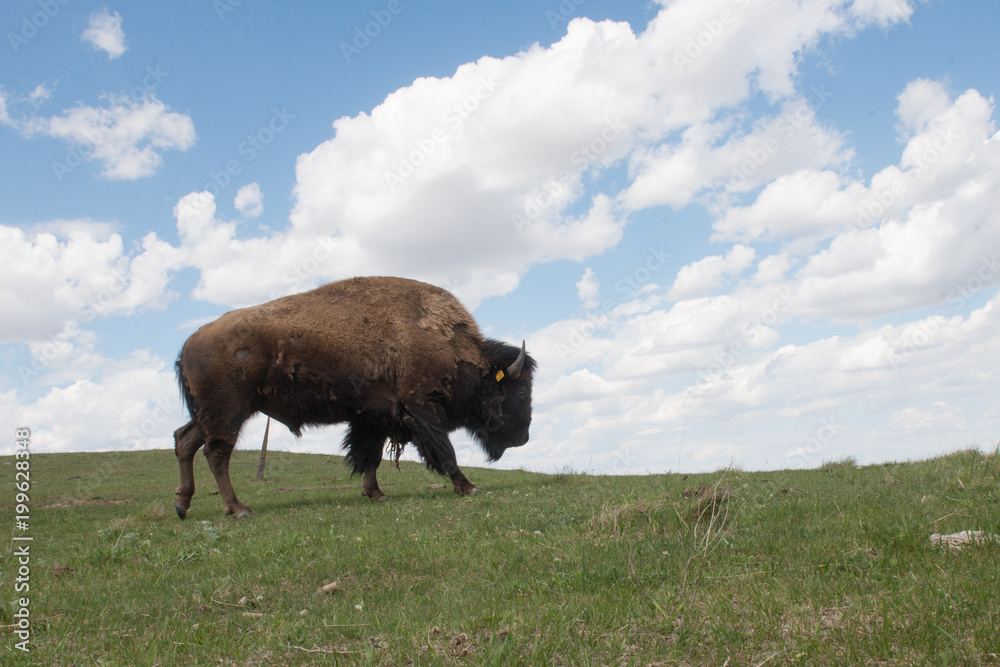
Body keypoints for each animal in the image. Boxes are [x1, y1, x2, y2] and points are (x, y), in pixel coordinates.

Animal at [174, 274, 532, 520]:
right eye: (517, 389)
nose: (524, 437)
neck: (444, 341)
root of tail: (189, 342)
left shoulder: (376, 417)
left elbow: (370, 456)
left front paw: (376, 494)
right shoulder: (421, 409)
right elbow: (445, 452)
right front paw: (468, 486)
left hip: (207, 415)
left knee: (184, 441)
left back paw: (182, 504)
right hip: (228, 413)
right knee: (216, 453)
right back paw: (238, 509)